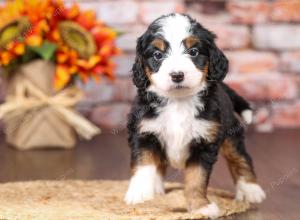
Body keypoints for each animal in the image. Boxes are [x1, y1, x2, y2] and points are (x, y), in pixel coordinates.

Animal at [124, 13, 264, 218]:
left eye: (194, 52)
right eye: (157, 55)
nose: (177, 75)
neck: (178, 102)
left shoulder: (205, 142)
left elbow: (196, 179)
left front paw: (200, 206)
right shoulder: (143, 133)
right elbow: (144, 165)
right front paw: (139, 193)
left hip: (231, 134)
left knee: (240, 158)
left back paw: (251, 190)